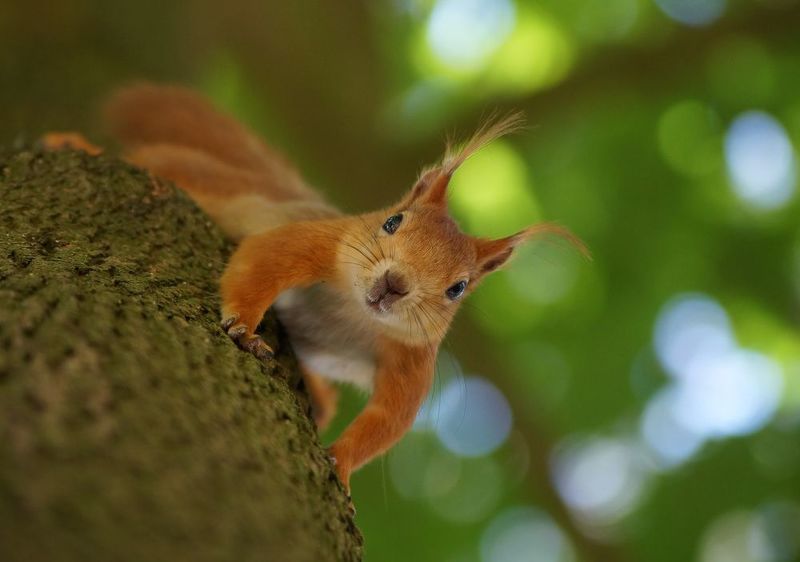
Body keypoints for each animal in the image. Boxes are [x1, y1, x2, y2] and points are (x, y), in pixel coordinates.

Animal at [43, 83, 587, 494]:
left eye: (458, 288)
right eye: (393, 221)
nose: (394, 284)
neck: (355, 312)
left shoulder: (413, 362)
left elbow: (388, 419)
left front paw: (341, 461)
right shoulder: (317, 242)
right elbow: (263, 262)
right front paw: (244, 329)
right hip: (201, 176)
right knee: (154, 161)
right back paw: (73, 141)